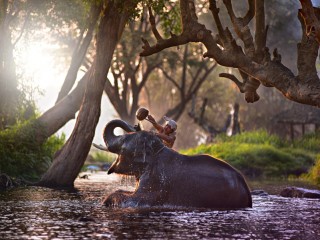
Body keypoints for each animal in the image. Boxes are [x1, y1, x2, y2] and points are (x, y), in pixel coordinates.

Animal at [102, 119, 252, 209]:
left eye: (123, 142)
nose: (136, 125)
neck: (156, 150)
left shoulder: (157, 179)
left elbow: (137, 200)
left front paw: (106, 202)